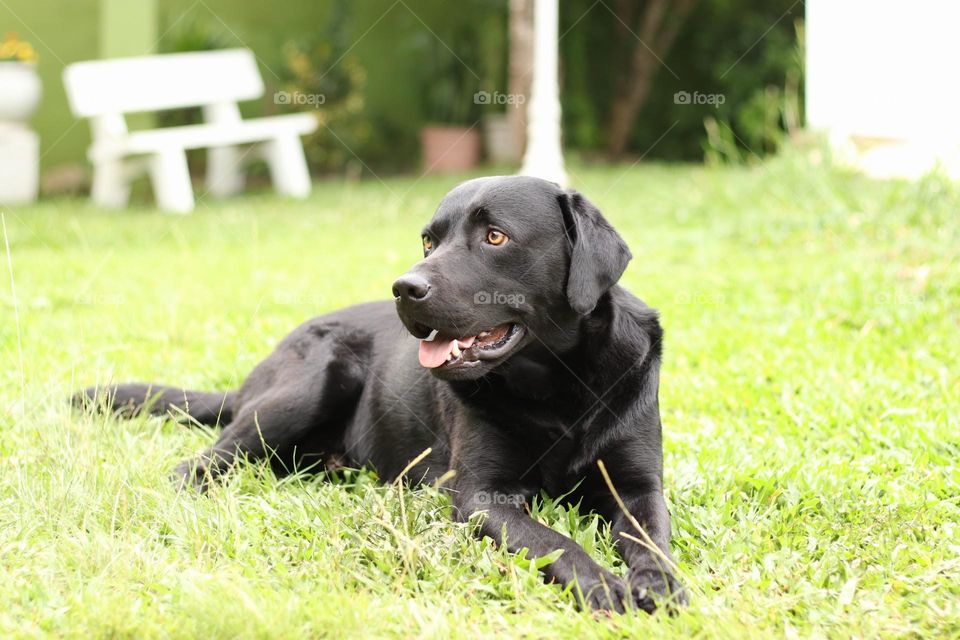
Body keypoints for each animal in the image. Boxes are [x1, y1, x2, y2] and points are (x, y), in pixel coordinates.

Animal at [79, 176, 688, 616]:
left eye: (496, 236)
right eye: (428, 240)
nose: (404, 287)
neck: (558, 385)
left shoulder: (637, 485)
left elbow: (653, 537)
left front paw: (658, 584)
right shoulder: (482, 496)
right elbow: (552, 541)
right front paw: (602, 586)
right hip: (315, 379)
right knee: (197, 463)